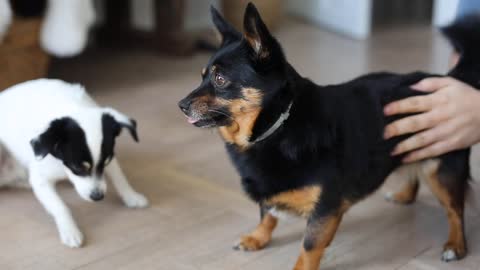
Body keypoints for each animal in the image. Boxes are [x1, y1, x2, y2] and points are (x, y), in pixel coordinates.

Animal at [0, 78, 148, 247]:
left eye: (106, 162)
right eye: (77, 167)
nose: (97, 197)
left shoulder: (108, 158)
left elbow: (120, 177)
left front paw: (131, 196)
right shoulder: (41, 180)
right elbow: (60, 207)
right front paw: (70, 230)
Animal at [179, 3, 480, 268]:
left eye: (220, 80)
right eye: (202, 76)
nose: (180, 105)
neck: (278, 127)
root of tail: (449, 79)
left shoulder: (325, 209)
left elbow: (309, 247)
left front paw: (299, 268)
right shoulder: (269, 189)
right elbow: (267, 215)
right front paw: (257, 238)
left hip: (441, 168)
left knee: (455, 209)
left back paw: (455, 245)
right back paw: (404, 195)